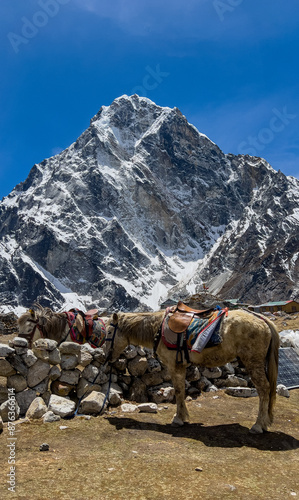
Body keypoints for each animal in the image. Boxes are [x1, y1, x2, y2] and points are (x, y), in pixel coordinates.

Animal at [104, 306, 280, 432]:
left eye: (110, 331)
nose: (107, 356)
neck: (157, 329)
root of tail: (262, 320)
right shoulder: (180, 367)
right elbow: (181, 390)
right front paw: (183, 417)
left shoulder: (174, 366)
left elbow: (178, 390)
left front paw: (178, 419)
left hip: (254, 363)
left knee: (264, 389)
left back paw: (258, 426)